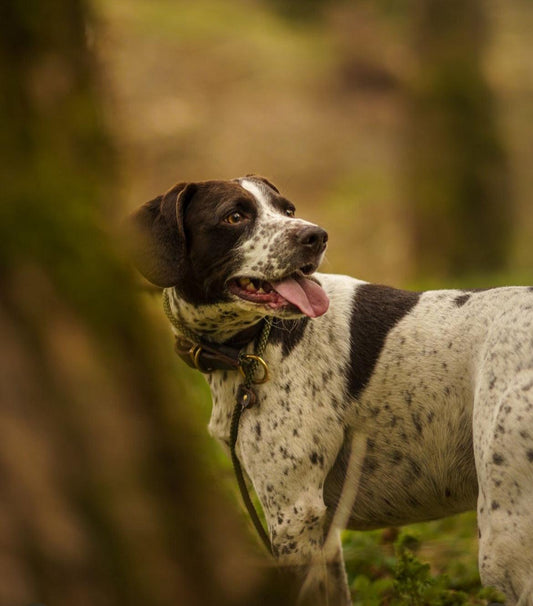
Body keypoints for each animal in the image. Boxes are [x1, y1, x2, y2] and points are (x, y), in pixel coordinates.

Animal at [129, 175, 532, 604]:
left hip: (503, 537)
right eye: (234, 216)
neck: (250, 346)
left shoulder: (293, 513)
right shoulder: (320, 527)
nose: (315, 236)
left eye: (287, 209)